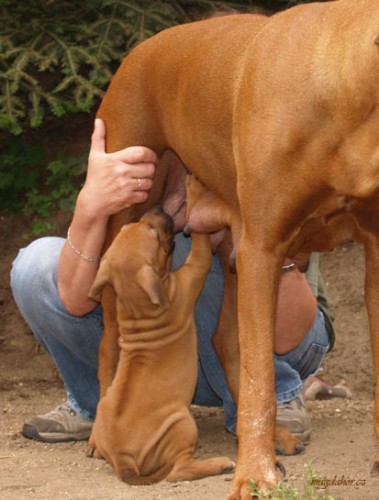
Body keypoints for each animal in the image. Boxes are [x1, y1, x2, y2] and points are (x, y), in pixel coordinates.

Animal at [87, 203, 235, 484]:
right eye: (154, 233)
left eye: (131, 225)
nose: (158, 209)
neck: (136, 304)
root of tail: (121, 458)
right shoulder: (193, 272)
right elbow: (201, 247)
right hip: (182, 423)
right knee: (179, 470)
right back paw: (220, 464)